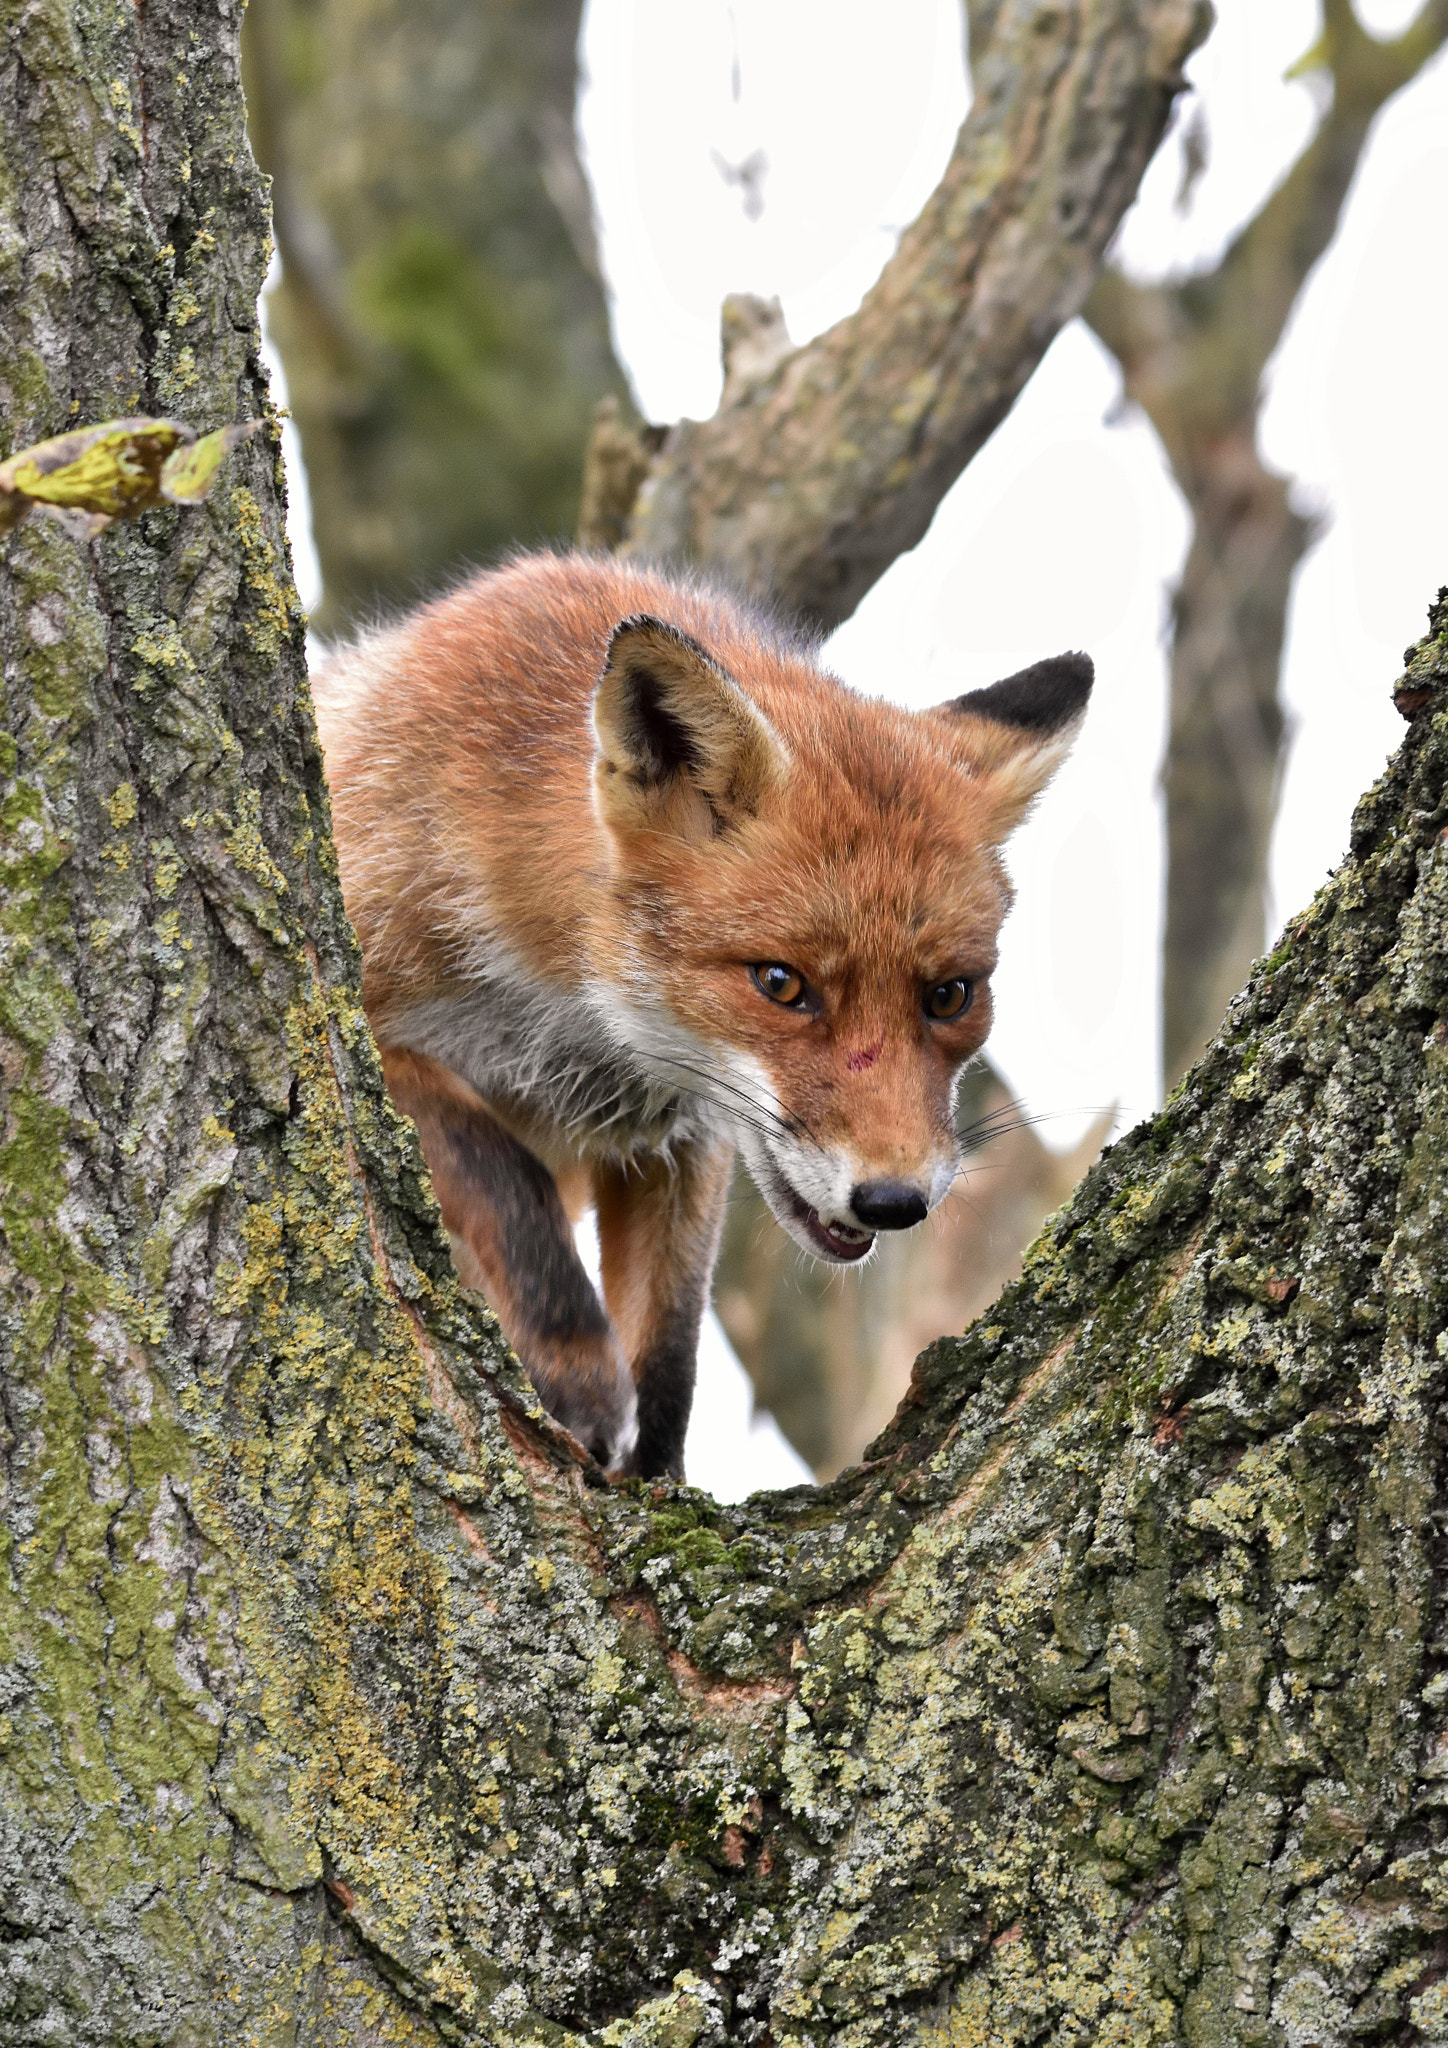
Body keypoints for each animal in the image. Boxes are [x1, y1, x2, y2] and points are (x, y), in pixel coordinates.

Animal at [311, 552, 1089, 1482]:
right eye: (782, 983)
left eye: (950, 996)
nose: (895, 1200)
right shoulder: (362, 1023)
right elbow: (505, 1176)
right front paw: (577, 1375)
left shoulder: (682, 1136)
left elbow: (670, 1339)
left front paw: (656, 1480)